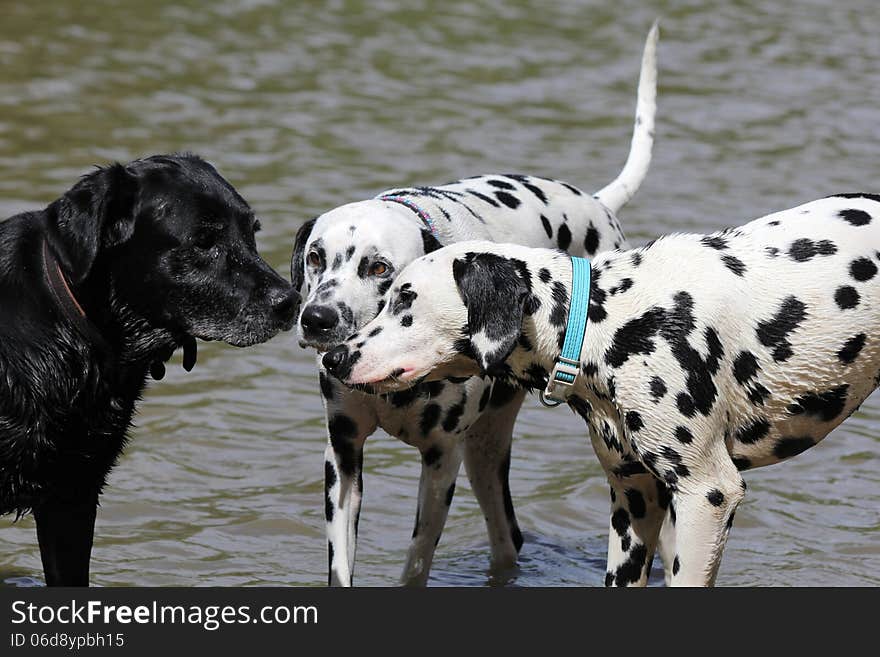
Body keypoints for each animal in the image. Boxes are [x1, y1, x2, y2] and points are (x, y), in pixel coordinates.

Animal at [292, 24, 656, 584]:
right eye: (315, 257)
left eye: (378, 268)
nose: (318, 319)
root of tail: (597, 204)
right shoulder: (343, 456)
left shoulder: (441, 463)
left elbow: (417, 562)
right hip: (485, 454)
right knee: (508, 538)